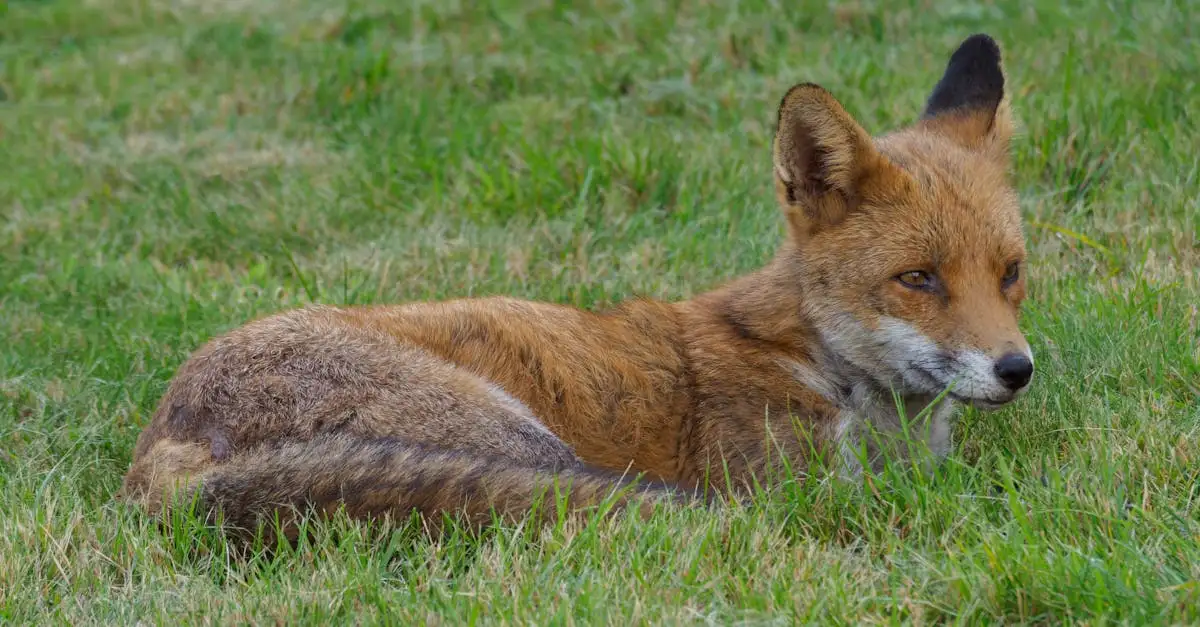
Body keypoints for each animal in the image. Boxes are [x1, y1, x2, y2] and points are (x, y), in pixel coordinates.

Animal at [120, 33, 1034, 541]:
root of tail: (159, 445)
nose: (1017, 369)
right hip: (523, 442)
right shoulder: (802, 485)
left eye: (1012, 272)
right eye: (917, 279)